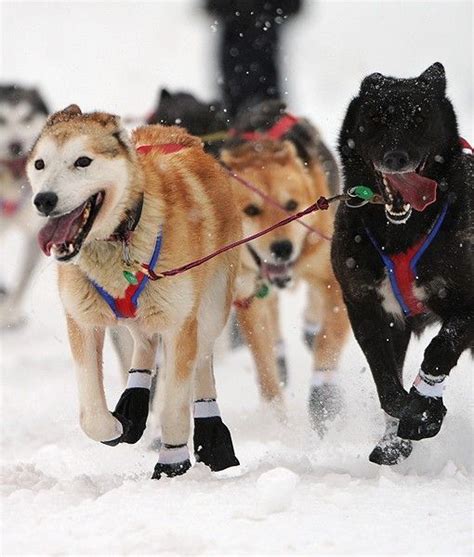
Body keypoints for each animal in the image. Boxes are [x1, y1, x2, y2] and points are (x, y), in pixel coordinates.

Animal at [25, 105, 241, 478]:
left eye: (82, 161)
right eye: (40, 164)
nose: (44, 200)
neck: (120, 238)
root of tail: (181, 137)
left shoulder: (180, 326)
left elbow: (173, 408)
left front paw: (172, 464)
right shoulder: (82, 322)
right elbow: (92, 417)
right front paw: (118, 426)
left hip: (209, 310)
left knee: (202, 360)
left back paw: (212, 436)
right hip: (139, 317)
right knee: (144, 343)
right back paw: (134, 405)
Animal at [221, 138, 348, 430]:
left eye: (292, 205)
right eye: (252, 210)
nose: (282, 248)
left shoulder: (335, 278)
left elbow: (329, 339)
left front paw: (323, 395)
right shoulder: (248, 296)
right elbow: (263, 360)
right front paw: (275, 418)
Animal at [334, 60, 474, 462]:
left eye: (419, 119)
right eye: (376, 118)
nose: (396, 158)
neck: (401, 233)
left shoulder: (467, 305)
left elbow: (440, 349)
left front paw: (426, 406)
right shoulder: (368, 309)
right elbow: (386, 381)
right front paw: (399, 430)